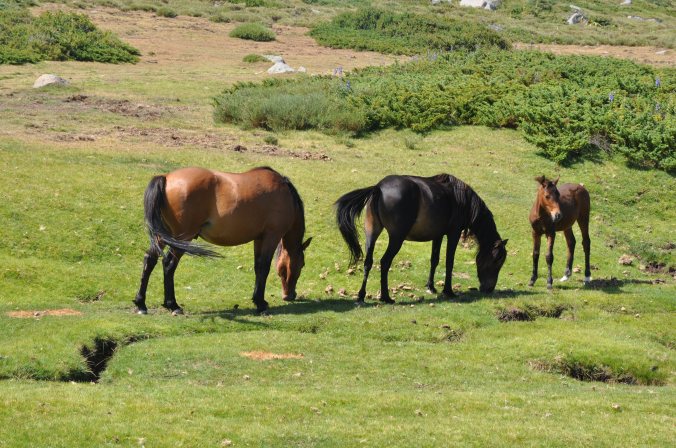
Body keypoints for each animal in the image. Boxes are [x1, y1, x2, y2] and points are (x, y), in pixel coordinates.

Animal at [133, 166, 311, 315]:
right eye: (302, 264)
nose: (290, 295)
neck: (284, 193)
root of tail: (166, 178)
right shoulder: (271, 236)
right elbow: (264, 267)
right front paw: (261, 304)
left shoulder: (259, 238)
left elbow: (257, 267)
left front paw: (257, 300)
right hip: (182, 238)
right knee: (169, 265)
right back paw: (173, 305)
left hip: (164, 236)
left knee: (150, 259)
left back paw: (141, 304)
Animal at [335, 174, 508, 303]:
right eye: (497, 260)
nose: (489, 289)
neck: (461, 199)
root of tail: (379, 188)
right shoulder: (453, 234)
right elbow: (449, 262)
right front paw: (448, 291)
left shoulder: (438, 235)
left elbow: (434, 260)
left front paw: (431, 286)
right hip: (396, 238)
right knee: (385, 262)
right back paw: (386, 297)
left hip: (372, 234)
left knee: (368, 262)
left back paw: (361, 295)